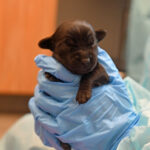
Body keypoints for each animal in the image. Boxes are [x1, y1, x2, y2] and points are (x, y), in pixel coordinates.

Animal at [38, 20, 109, 150]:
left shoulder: (101, 70)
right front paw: (52, 75)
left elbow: (89, 75)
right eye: (69, 44)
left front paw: (83, 94)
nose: (86, 60)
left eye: (92, 43)